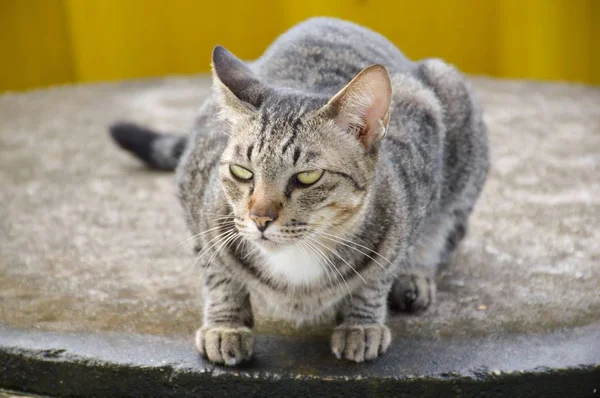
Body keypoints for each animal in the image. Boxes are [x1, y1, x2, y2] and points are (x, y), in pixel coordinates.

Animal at [111, 19, 488, 366]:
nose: (259, 218)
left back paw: (414, 276)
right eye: (242, 172)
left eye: (307, 177)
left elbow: (380, 272)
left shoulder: (415, 172)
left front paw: (361, 323)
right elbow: (217, 273)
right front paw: (225, 325)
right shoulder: (196, 198)